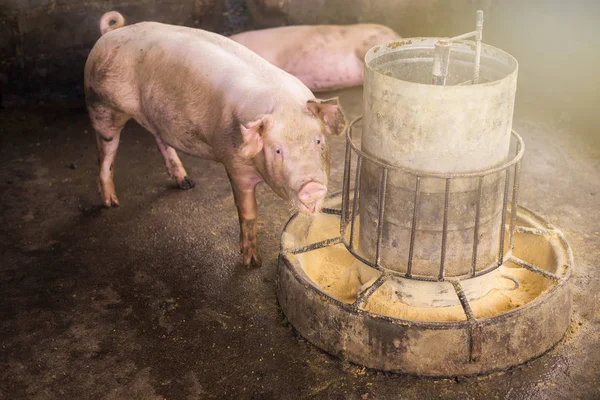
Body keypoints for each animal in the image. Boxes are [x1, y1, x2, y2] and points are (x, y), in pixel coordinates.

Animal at [86, 11, 344, 268]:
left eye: (318, 141)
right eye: (278, 150)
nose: (312, 186)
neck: (282, 103)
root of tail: (112, 32)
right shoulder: (235, 163)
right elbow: (248, 212)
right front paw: (252, 263)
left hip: (155, 115)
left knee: (160, 140)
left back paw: (186, 183)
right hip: (101, 105)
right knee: (105, 151)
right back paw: (111, 202)